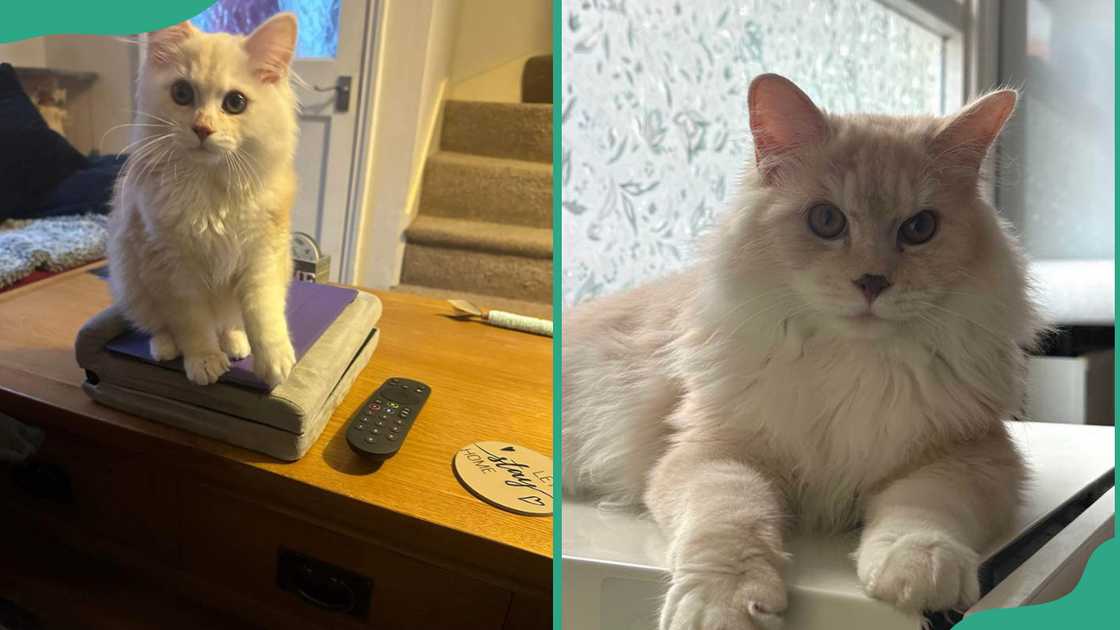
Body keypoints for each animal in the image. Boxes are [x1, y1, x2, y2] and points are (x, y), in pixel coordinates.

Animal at [108, 14, 300, 385]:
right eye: (181, 93)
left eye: (235, 103)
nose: (202, 129)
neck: (210, 188)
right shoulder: (171, 268)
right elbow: (193, 324)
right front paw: (204, 362)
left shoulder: (262, 257)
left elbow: (263, 314)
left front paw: (275, 362)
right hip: (131, 280)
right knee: (158, 326)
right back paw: (166, 348)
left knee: (228, 323)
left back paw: (236, 343)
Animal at [564, 72, 1043, 623]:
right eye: (826, 221)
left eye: (920, 228)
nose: (872, 281)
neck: (852, 362)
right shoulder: (712, 456)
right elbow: (731, 519)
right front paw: (724, 606)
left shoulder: (973, 457)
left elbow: (922, 508)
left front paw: (917, 570)